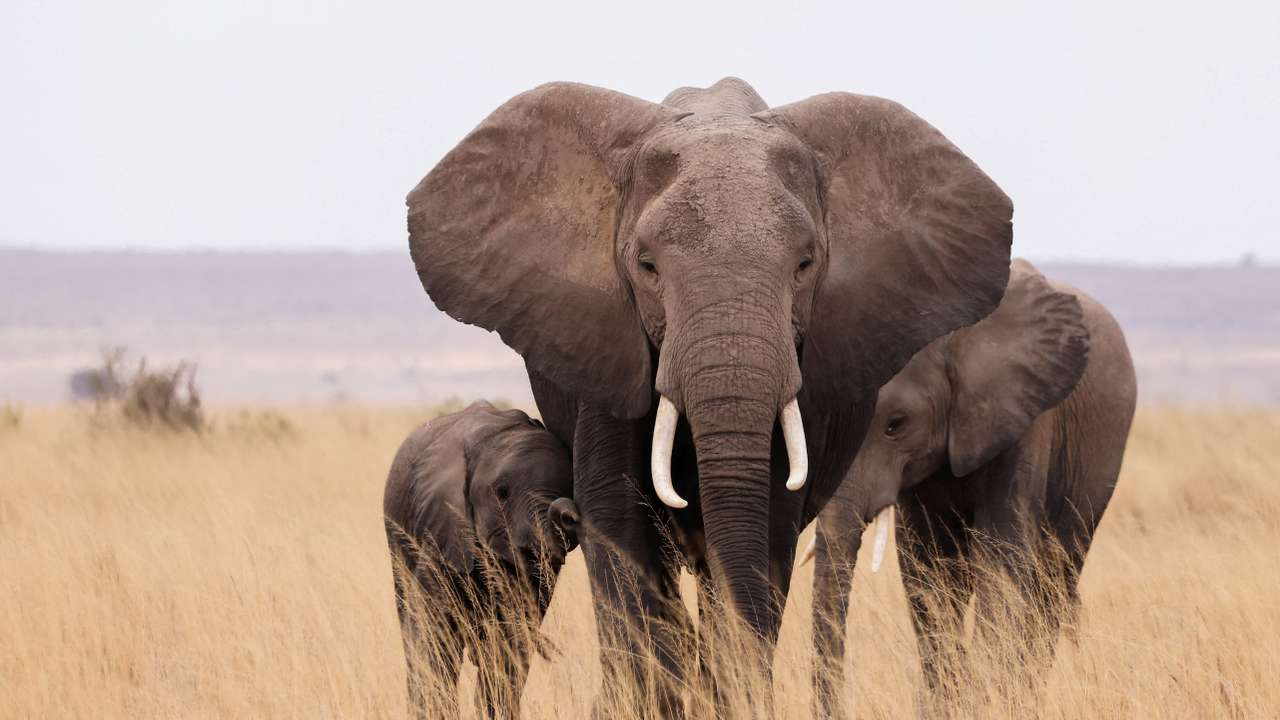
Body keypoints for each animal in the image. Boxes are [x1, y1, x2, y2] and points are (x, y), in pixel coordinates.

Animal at [383, 400, 581, 720]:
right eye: (502, 493)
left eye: (569, 490)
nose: (567, 513)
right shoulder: (443, 524)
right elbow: (435, 633)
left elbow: (508, 648)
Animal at [803, 259, 1137, 717]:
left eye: (895, 425)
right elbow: (928, 570)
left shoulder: (1023, 417)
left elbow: (1001, 559)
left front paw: (991, 701)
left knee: (1053, 579)